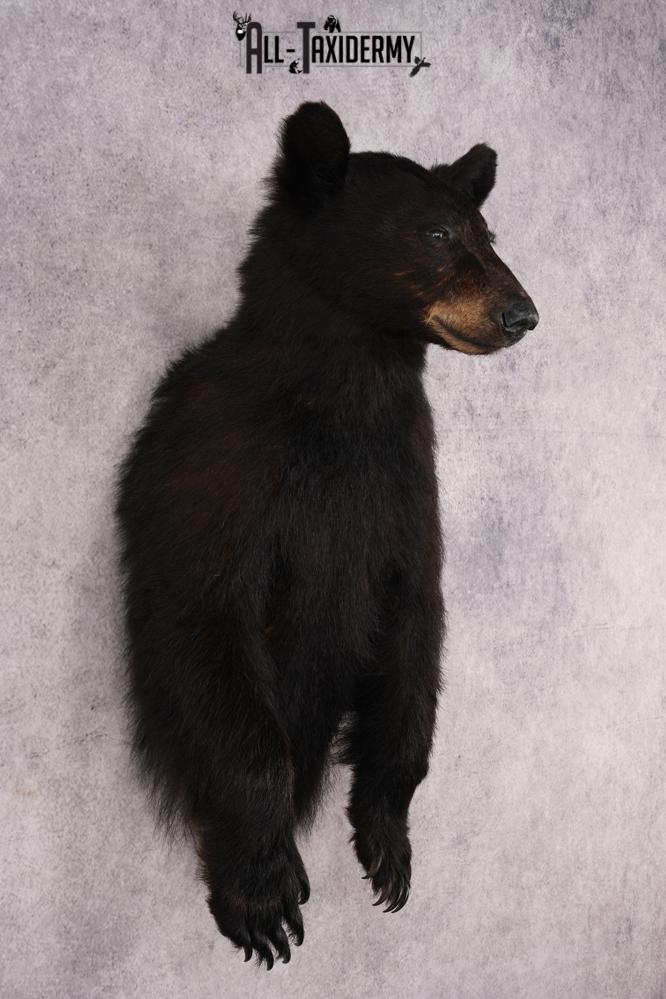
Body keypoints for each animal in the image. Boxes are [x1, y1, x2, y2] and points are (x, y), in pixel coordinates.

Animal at [114, 100, 539, 970]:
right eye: (436, 232)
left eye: (488, 230)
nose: (523, 315)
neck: (349, 390)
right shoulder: (224, 457)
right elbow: (205, 610)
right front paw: (261, 888)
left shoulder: (405, 477)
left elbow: (414, 623)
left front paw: (387, 838)